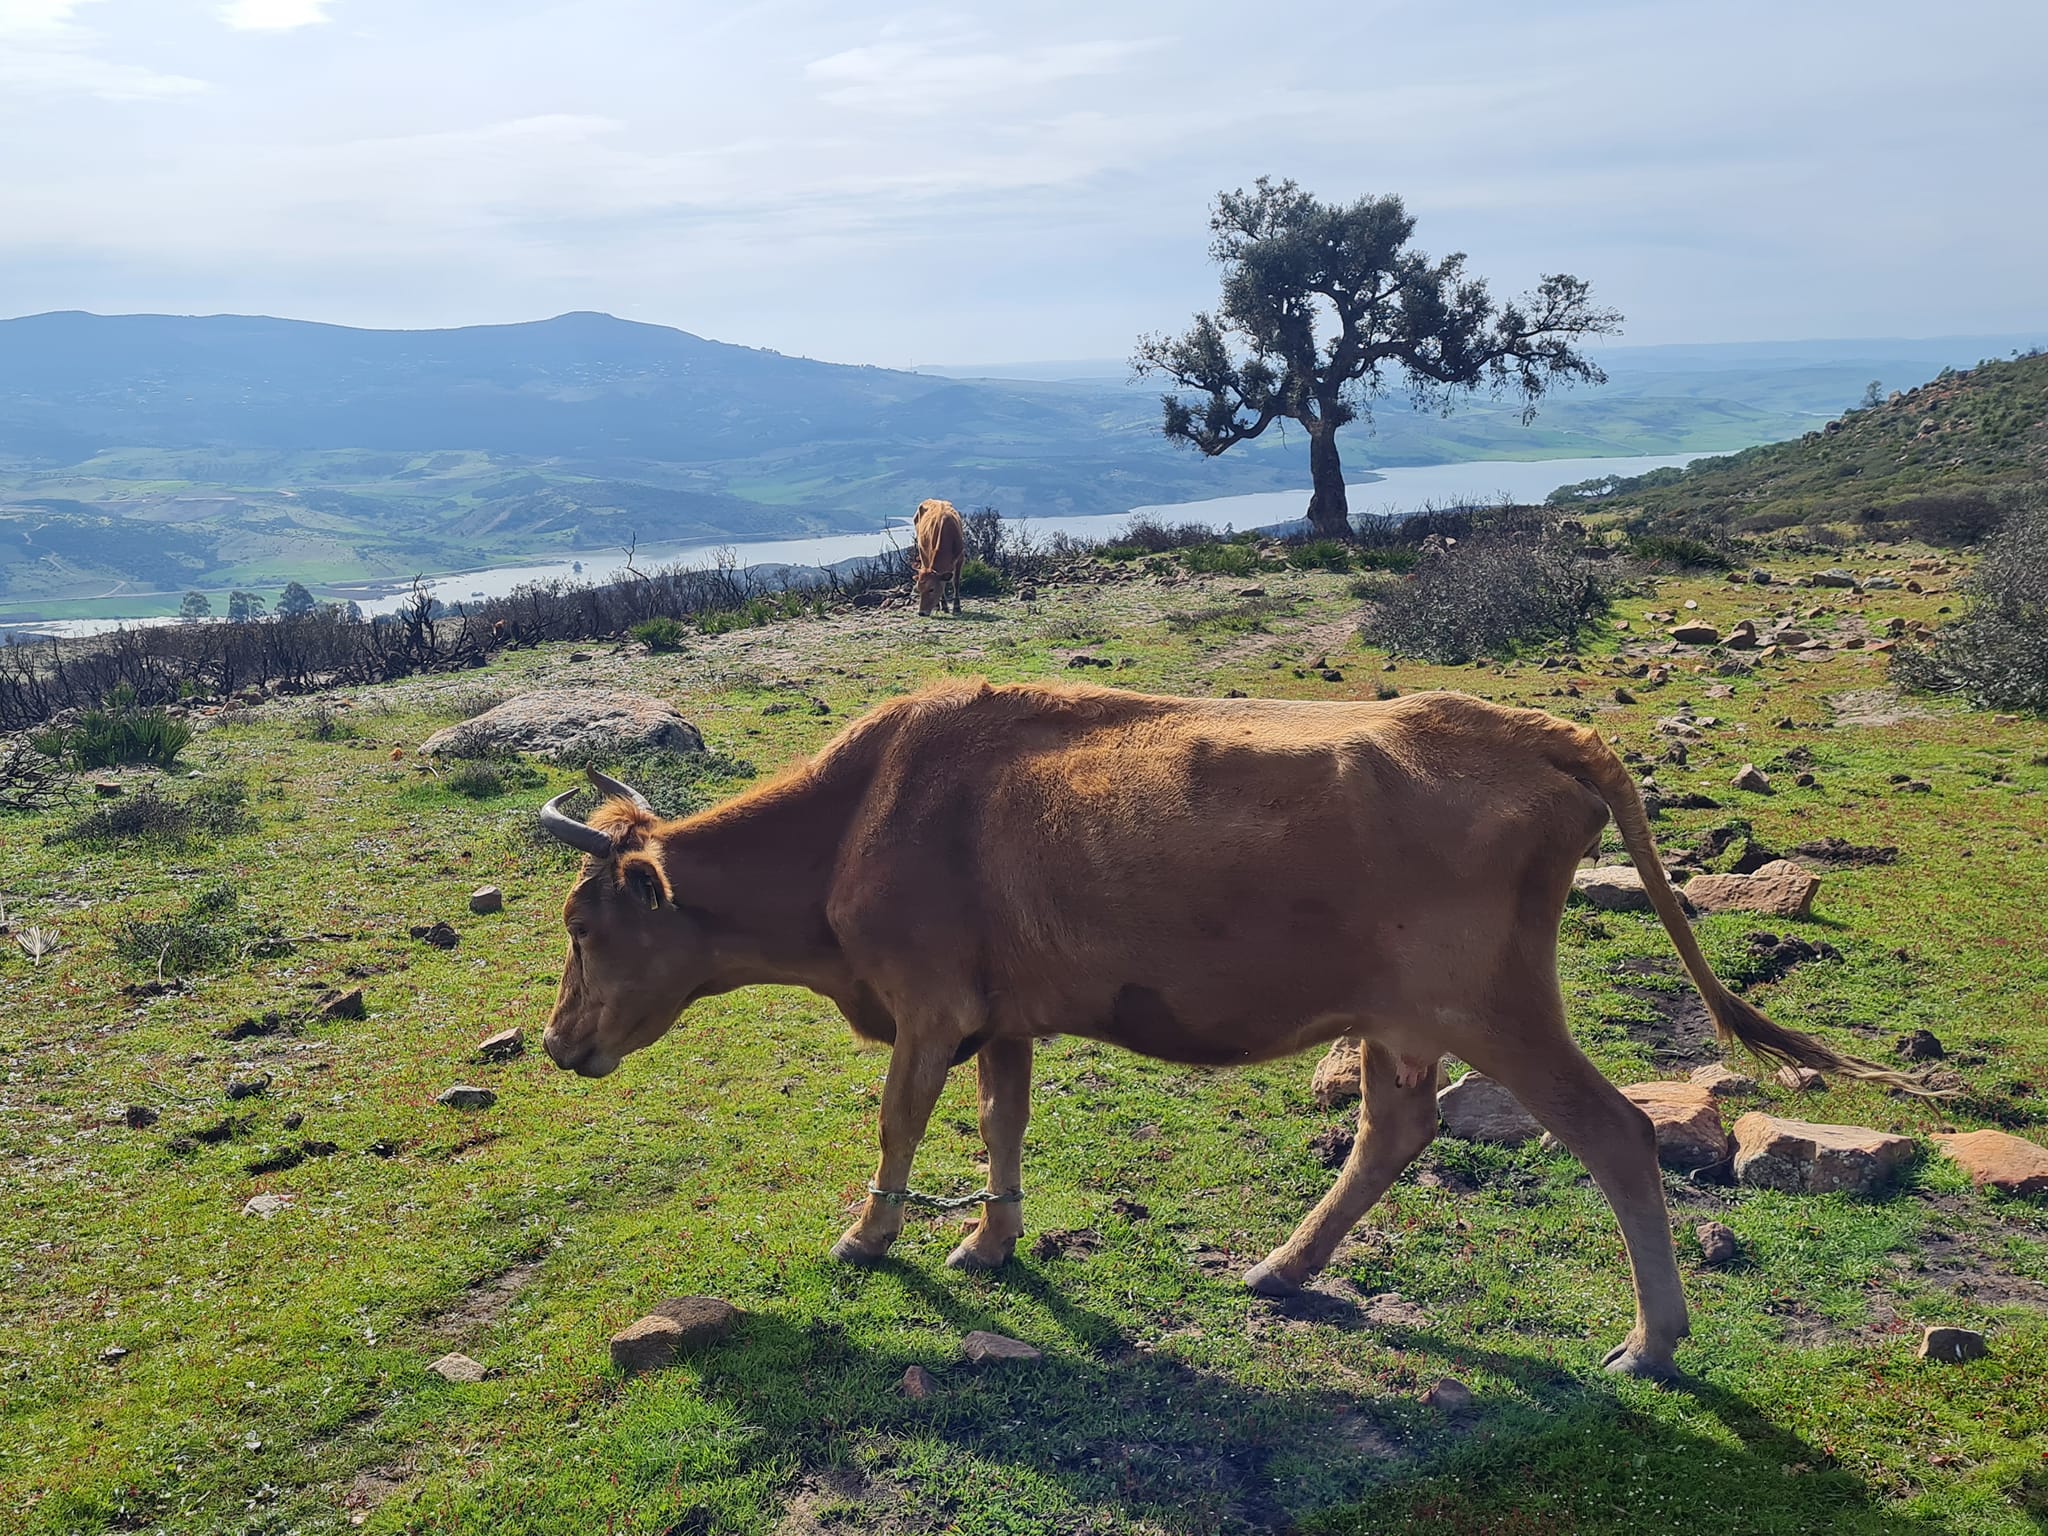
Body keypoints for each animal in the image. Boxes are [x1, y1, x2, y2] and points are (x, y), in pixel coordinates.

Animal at [532, 684, 1933, 1384]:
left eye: (583, 924)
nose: (552, 1044)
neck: (859, 821)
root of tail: (1535, 729)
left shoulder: (926, 1005)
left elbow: (898, 1124)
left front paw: (868, 1238)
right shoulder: (1001, 1013)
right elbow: (1000, 1123)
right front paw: (988, 1240)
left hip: (1494, 1006)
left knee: (1615, 1135)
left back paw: (1651, 1343)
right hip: (1403, 1017)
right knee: (1394, 1127)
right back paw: (1283, 1267)